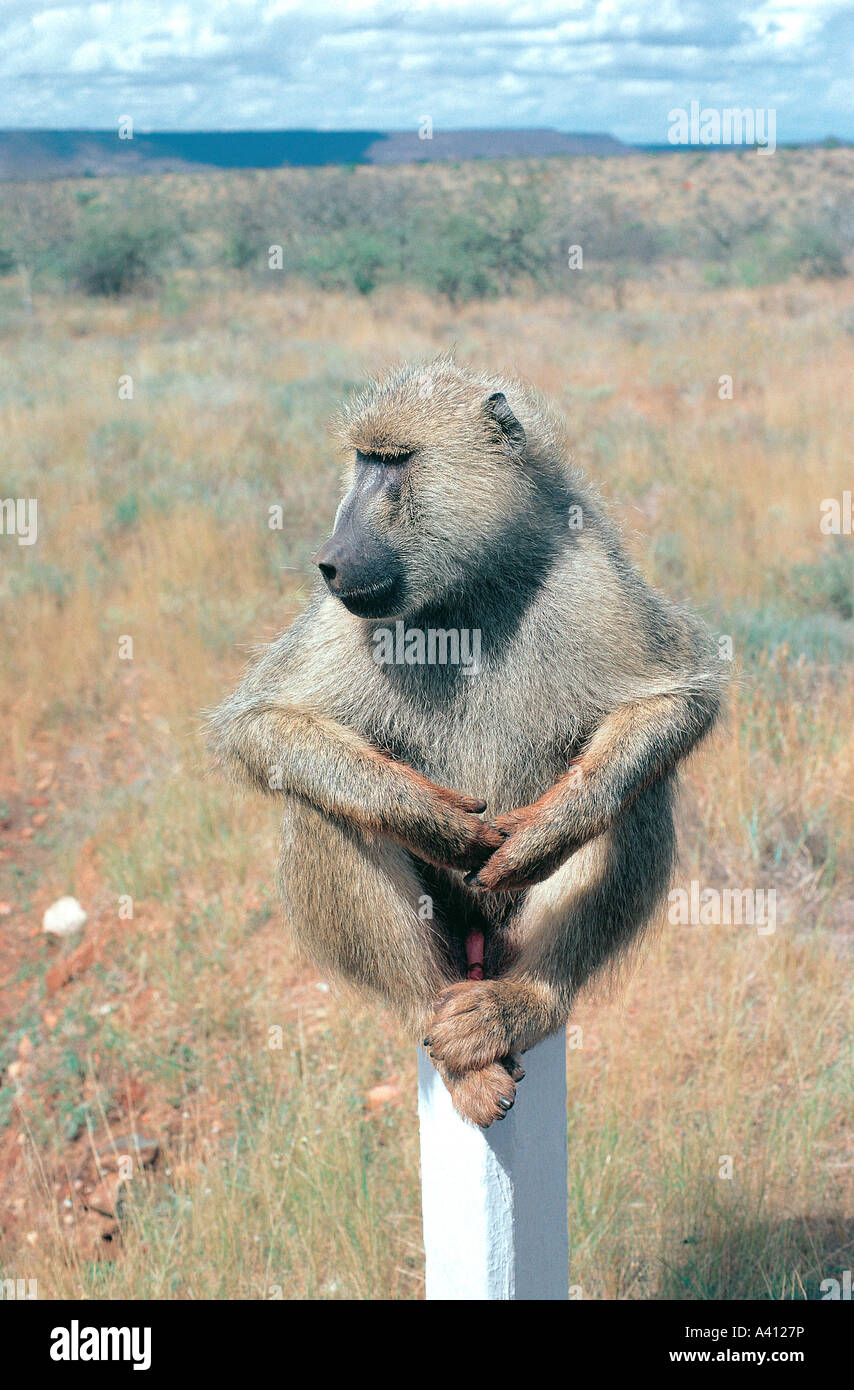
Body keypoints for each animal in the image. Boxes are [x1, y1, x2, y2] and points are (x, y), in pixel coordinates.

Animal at [208, 355, 724, 1128]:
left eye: (395, 462)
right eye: (363, 460)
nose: (329, 561)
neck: (471, 587)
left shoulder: (591, 569)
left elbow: (678, 699)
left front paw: (544, 834)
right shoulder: (344, 614)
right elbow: (262, 721)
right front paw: (429, 821)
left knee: (636, 796)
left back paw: (522, 1003)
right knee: (319, 808)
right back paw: (443, 1029)